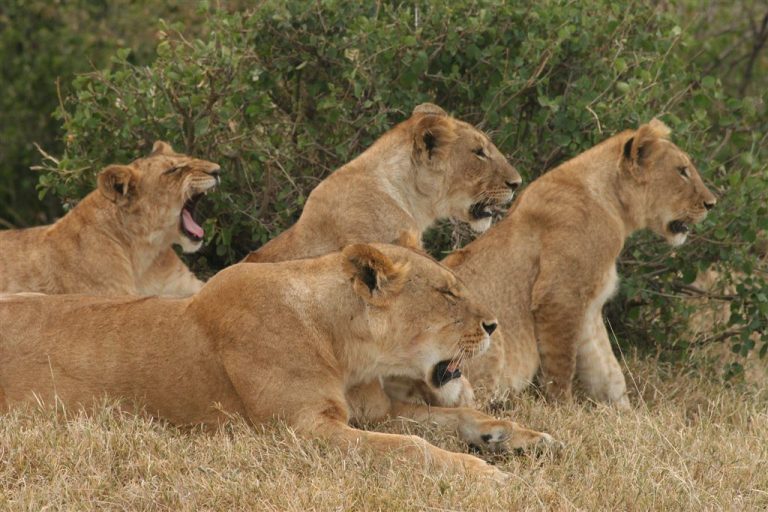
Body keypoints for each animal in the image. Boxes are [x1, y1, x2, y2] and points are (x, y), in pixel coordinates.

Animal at [0, 243, 555, 481]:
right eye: (446, 293)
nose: (493, 326)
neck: (345, 349)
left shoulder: (368, 414)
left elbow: (458, 415)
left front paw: (519, 438)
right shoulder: (301, 430)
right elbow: (412, 447)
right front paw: (486, 475)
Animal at [443, 119, 717, 408]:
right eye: (682, 171)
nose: (711, 203)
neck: (614, 205)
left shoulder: (590, 309)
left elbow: (608, 370)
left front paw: (625, 411)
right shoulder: (559, 297)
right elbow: (562, 364)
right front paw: (563, 407)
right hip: (490, 339)